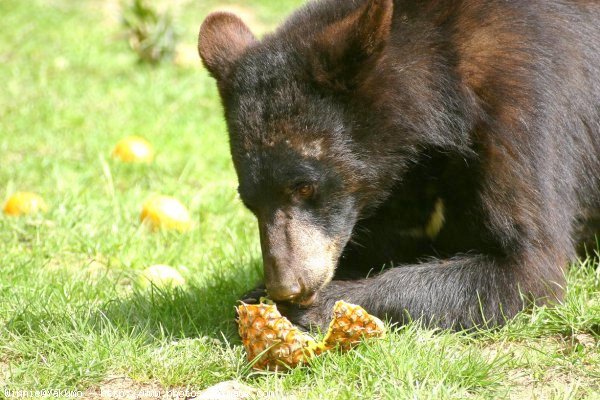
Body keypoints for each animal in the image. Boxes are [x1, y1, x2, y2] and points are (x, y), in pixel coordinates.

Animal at [198, 0, 600, 330]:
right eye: (249, 202)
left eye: (305, 186)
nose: (288, 287)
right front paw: (256, 295)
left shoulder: (520, 103)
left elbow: (526, 264)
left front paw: (322, 306)